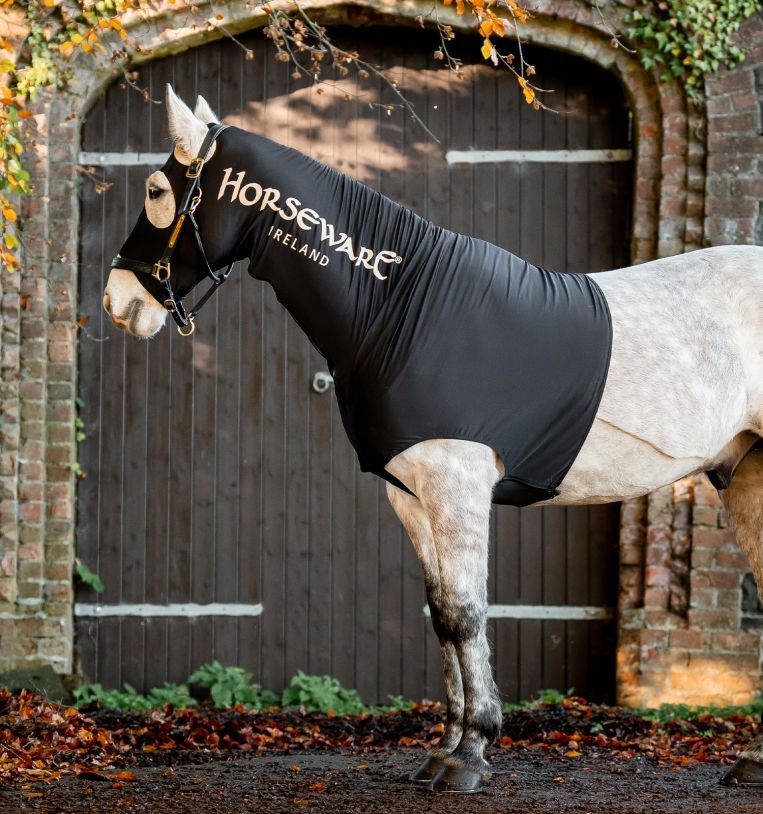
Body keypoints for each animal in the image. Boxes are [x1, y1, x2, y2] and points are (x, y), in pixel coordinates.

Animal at [102, 85, 763, 792]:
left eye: (156, 190)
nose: (116, 301)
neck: (402, 308)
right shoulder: (411, 495)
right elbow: (442, 615)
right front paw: (445, 750)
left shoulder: (457, 484)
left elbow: (466, 612)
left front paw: (473, 751)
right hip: (746, 474)